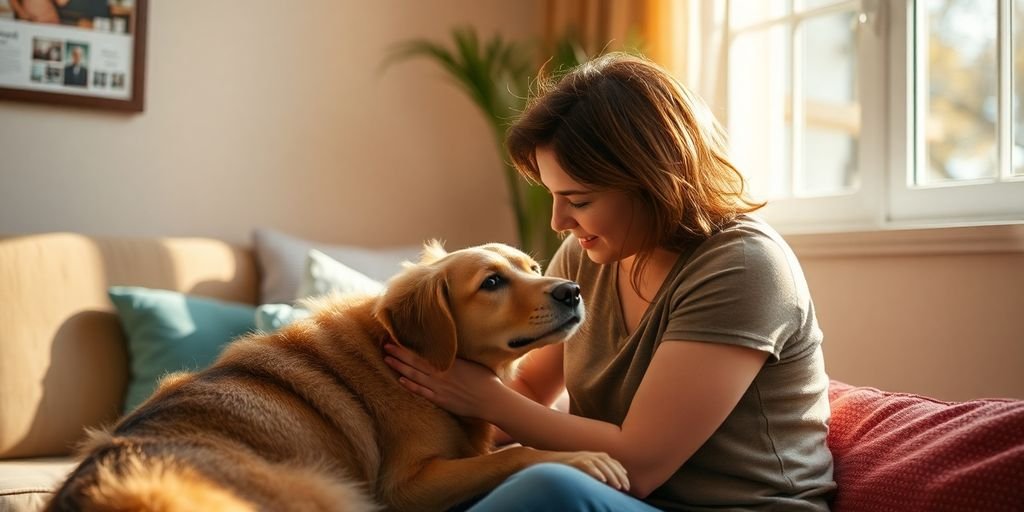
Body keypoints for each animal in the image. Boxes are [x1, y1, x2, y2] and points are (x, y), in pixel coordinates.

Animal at [46, 241, 614, 509]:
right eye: (492, 282)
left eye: (534, 267)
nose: (571, 290)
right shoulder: (404, 487)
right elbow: (514, 455)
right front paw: (580, 458)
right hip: (333, 490)